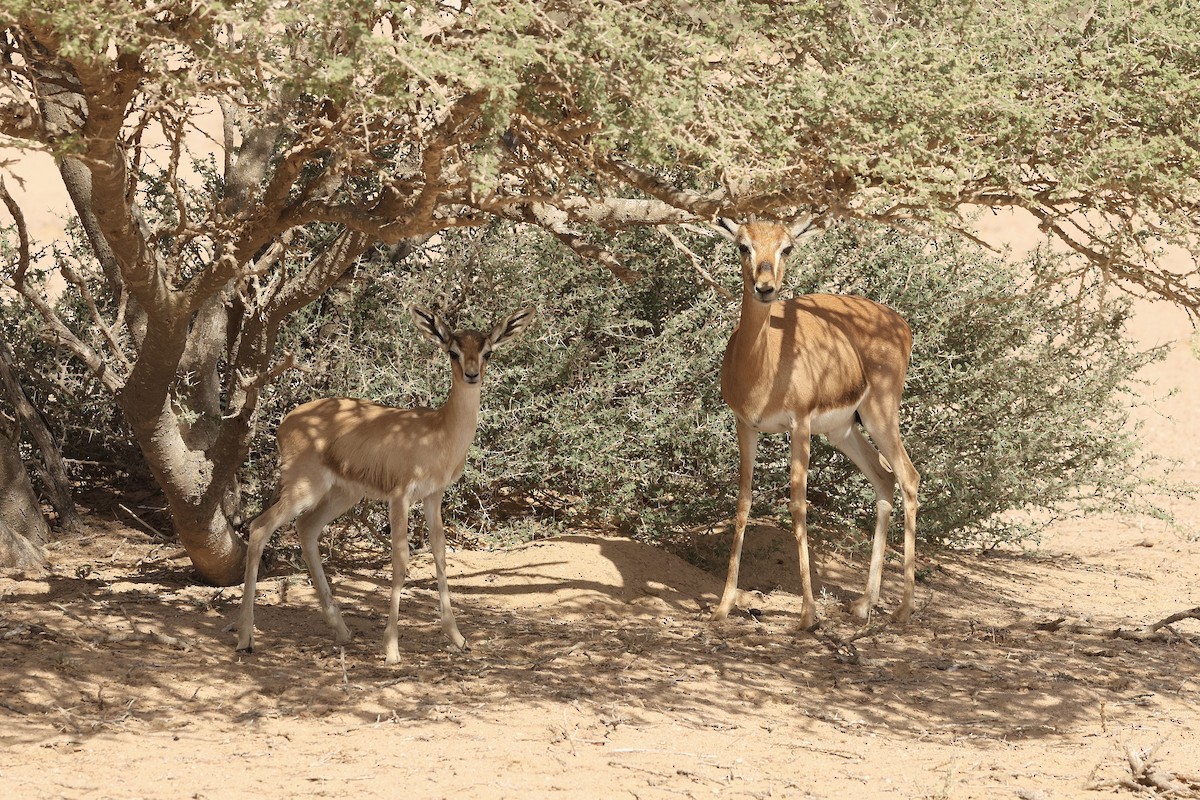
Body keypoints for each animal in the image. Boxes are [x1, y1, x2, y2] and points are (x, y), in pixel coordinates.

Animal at [235, 305, 535, 663]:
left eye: (487, 351)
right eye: (453, 351)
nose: (472, 374)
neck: (439, 432)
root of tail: (288, 420)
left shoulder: (433, 496)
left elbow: (439, 554)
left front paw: (458, 638)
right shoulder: (400, 496)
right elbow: (401, 559)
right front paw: (391, 647)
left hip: (342, 495)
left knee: (306, 528)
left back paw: (341, 630)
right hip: (304, 488)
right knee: (259, 528)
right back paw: (245, 638)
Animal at [712, 218, 919, 629]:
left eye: (786, 247)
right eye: (744, 245)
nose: (765, 287)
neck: (764, 363)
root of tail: (898, 321)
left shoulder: (800, 426)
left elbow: (798, 506)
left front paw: (808, 614)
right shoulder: (746, 426)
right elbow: (743, 503)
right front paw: (724, 605)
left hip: (880, 417)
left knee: (909, 478)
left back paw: (904, 608)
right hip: (844, 431)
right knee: (884, 478)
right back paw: (864, 603)